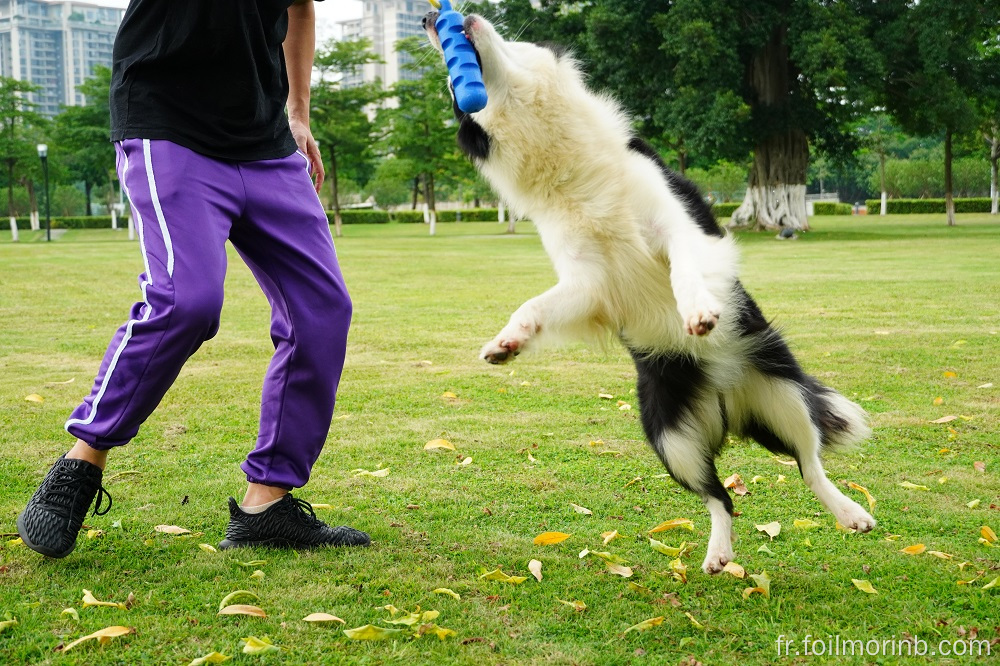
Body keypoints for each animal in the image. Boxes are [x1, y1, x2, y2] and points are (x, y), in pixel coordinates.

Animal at [422, 10, 876, 572]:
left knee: (809, 463)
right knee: (719, 496)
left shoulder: (678, 223)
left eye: (513, 40)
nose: (431, 17)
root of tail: (726, 401)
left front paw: (699, 311)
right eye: (451, 86)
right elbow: (537, 304)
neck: (562, 160)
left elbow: (684, 266)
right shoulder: (586, 282)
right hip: (668, 434)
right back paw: (718, 552)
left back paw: (850, 512)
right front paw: (507, 342)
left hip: (782, 388)